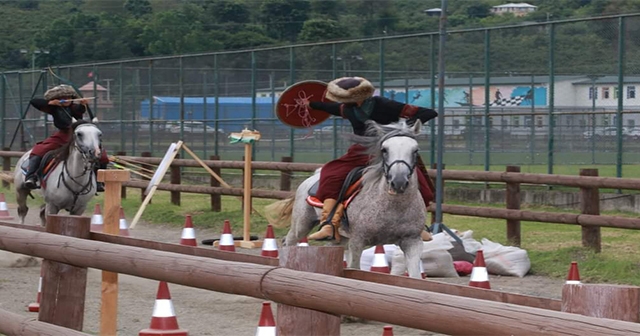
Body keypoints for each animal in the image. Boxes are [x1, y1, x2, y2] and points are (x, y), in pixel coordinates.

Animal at [268, 120, 428, 278]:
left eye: (415, 150)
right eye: (384, 150)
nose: (398, 181)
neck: (394, 206)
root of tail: (312, 178)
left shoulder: (412, 242)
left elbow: (415, 276)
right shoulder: (358, 241)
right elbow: (354, 268)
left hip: (339, 237)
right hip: (301, 225)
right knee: (288, 242)